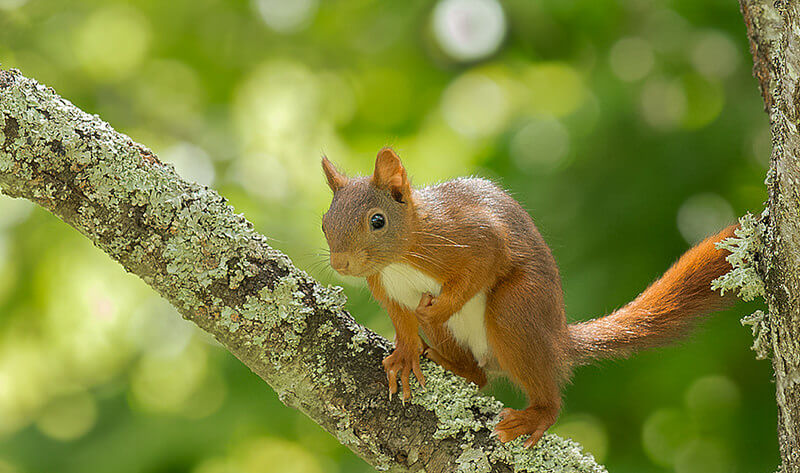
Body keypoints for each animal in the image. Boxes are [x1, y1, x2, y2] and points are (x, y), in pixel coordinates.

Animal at [320, 147, 737, 448]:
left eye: (377, 221)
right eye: (325, 222)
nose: (341, 263)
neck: (402, 255)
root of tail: (557, 337)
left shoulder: (472, 237)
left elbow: (481, 267)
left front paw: (435, 310)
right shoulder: (384, 286)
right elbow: (401, 320)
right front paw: (405, 355)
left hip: (518, 309)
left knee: (542, 388)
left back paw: (533, 415)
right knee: (477, 375)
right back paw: (448, 362)